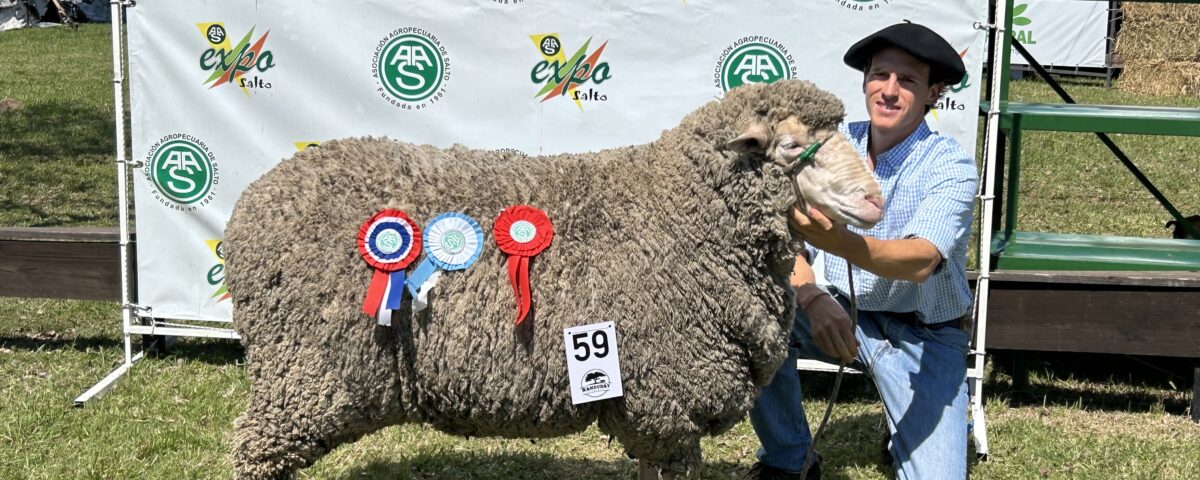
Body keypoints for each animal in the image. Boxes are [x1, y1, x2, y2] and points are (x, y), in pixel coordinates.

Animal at [224, 79, 883, 480]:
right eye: (794, 146)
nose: (875, 202)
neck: (680, 211)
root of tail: (252, 202)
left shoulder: (652, 407)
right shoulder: (663, 400)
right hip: (304, 372)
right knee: (257, 451)